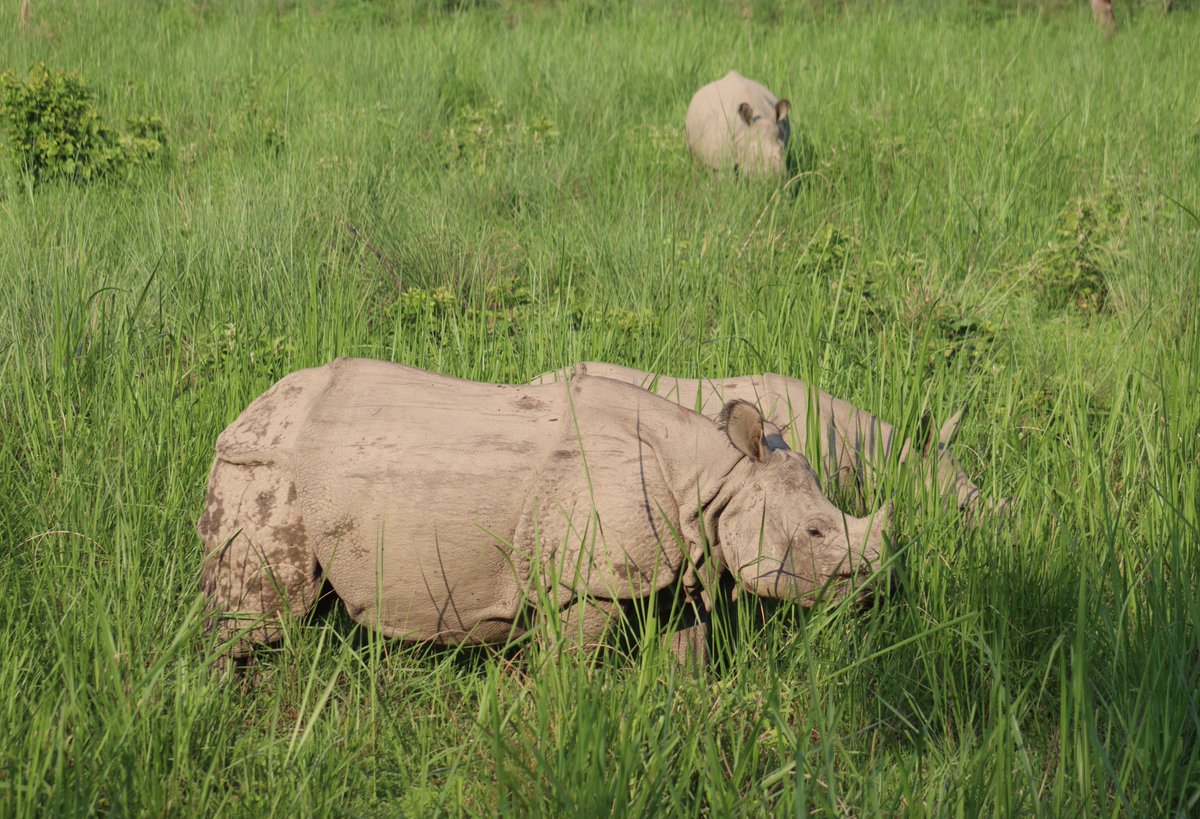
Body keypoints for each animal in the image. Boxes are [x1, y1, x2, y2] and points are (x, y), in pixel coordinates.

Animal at [198, 359, 890, 664]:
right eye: (816, 531)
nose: (873, 594)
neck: (715, 480)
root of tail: (248, 411)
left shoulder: (679, 558)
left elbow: (684, 651)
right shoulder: (586, 578)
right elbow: (573, 662)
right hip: (263, 464)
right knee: (263, 618)